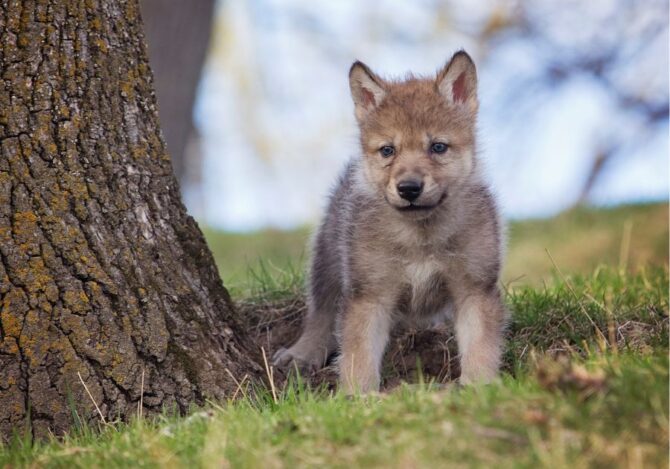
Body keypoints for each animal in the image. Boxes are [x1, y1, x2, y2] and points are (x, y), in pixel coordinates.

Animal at [273, 51, 507, 394]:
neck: (421, 236)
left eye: (437, 146)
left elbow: (480, 344)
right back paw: (301, 354)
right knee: (321, 312)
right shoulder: (369, 295)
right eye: (388, 150)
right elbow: (358, 352)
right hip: (328, 259)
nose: (408, 188)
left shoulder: (474, 288)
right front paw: (358, 395)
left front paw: (479, 386)